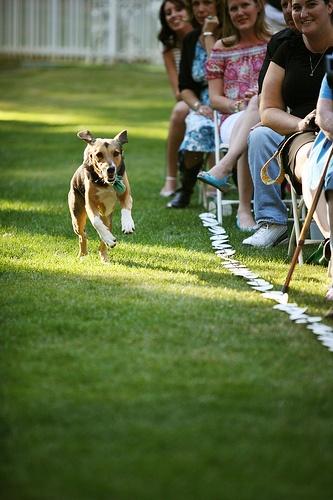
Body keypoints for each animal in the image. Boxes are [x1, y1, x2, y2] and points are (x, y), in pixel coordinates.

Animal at [68, 129, 134, 262]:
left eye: (116, 153)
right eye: (99, 154)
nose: (111, 169)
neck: (105, 183)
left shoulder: (126, 193)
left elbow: (126, 207)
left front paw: (128, 224)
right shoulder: (90, 203)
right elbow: (96, 222)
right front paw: (109, 238)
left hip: (107, 217)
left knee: (104, 233)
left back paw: (105, 256)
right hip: (77, 216)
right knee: (83, 235)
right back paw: (84, 255)